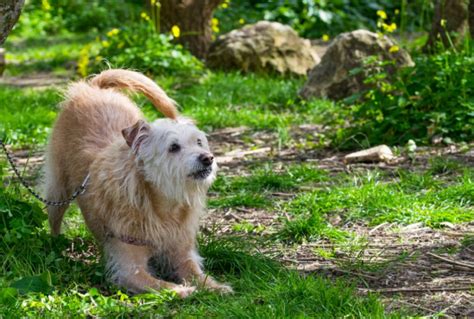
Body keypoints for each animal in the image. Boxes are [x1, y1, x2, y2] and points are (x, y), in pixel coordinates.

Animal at [43, 69, 232, 298]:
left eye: (199, 142)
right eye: (174, 147)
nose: (208, 158)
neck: (164, 207)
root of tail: (91, 88)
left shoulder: (182, 253)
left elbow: (197, 273)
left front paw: (216, 287)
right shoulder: (129, 268)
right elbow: (162, 285)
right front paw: (185, 290)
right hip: (58, 188)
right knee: (54, 216)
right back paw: (56, 244)